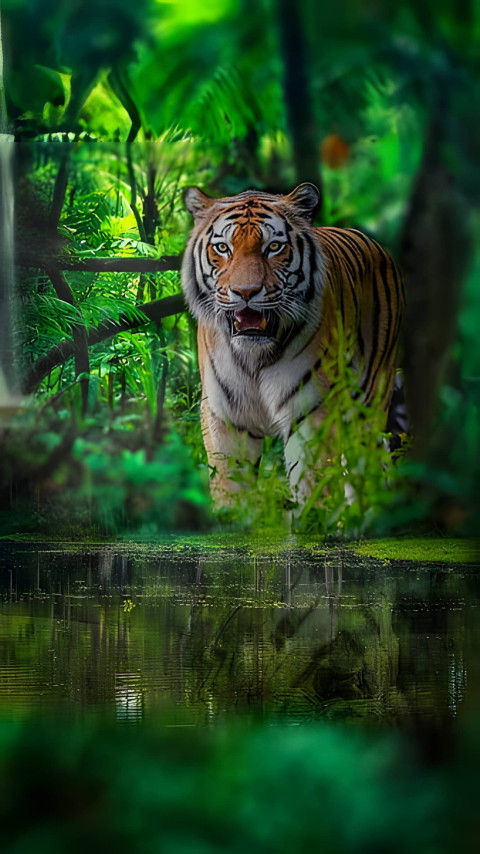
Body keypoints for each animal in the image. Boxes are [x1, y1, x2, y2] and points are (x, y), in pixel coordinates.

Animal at [181, 183, 405, 505]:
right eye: (223, 248)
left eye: (274, 247)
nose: (245, 292)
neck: (254, 355)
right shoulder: (225, 418)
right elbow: (230, 492)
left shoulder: (311, 414)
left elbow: (312, 490)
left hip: (369, 405)